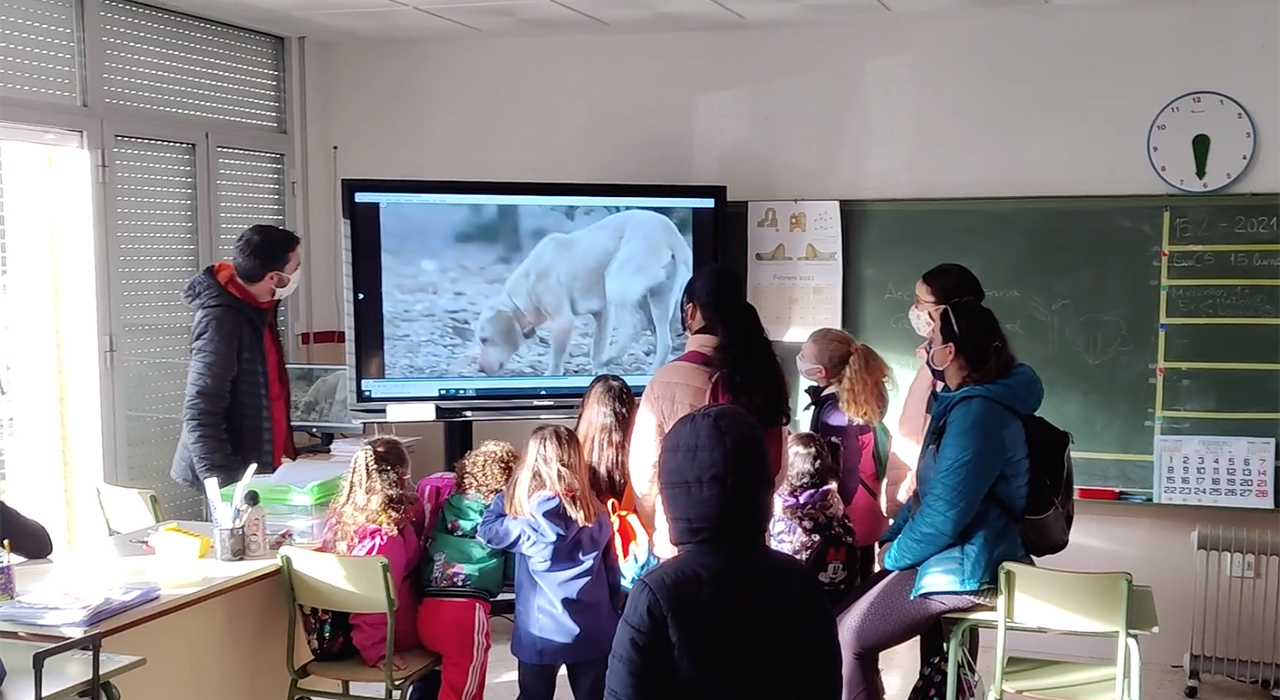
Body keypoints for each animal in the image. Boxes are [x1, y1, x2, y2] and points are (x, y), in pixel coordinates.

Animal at [455, 209, 696, 378]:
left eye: (484, 340)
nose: (480, 370)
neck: (526, 286)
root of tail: (672, 235)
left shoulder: (563, 321)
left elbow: (557, 359)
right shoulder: (603, 314)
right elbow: (596, 347)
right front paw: (598, 371)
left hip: (618, 281)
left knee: (633, 327)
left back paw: (613, 355)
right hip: (659, 298)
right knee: (663, 342)